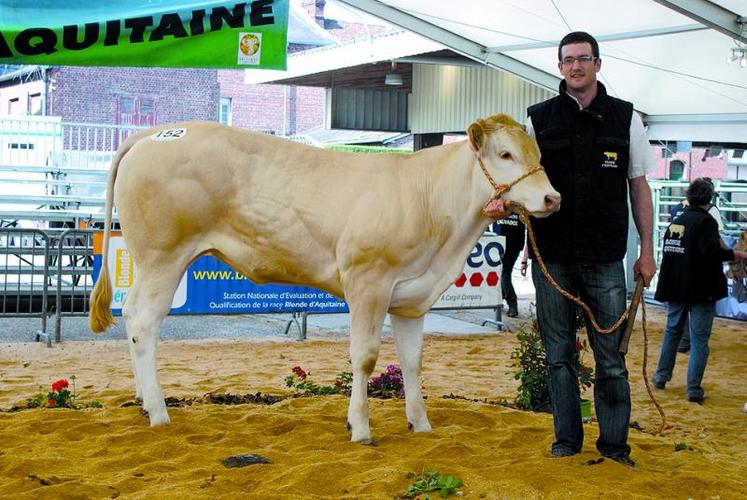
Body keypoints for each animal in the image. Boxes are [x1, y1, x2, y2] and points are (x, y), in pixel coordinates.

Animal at [89, 112, 560, 442]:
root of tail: (155, 133)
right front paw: (361, 428)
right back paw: (159, 412)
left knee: (133, 317)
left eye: (538, 156)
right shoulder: (368, 281)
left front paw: (421, 424)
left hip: (152, 260)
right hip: (162, 257)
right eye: (505, 154)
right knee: (144, 322)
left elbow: (411, 360)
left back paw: (143, 403)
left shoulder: (411, 297)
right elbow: (365, 356)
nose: (552, 198)